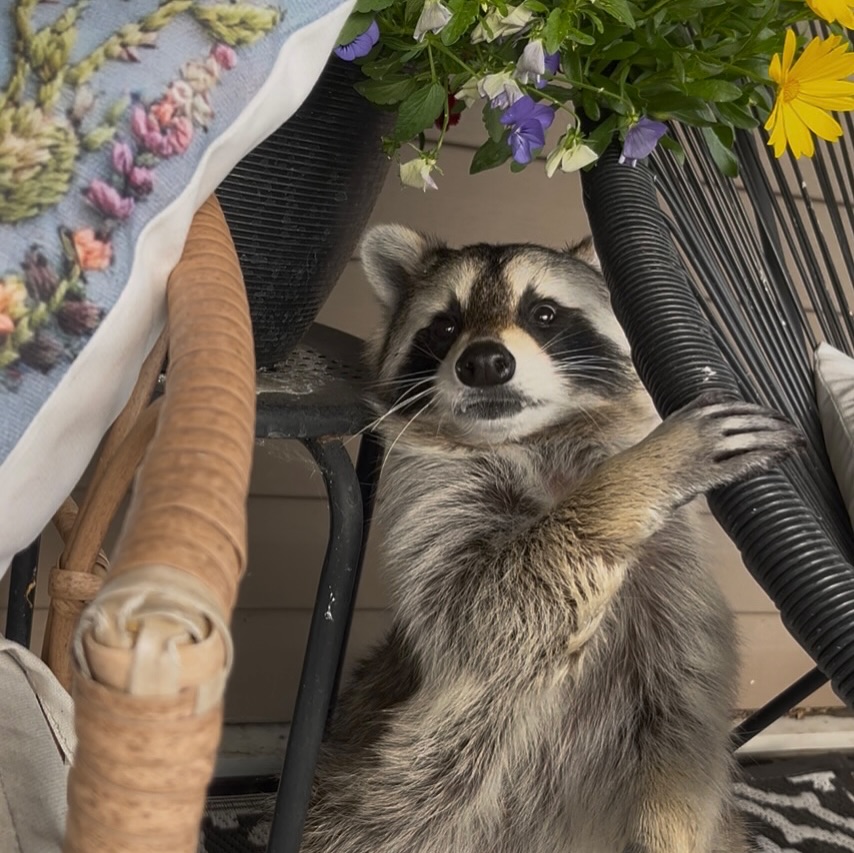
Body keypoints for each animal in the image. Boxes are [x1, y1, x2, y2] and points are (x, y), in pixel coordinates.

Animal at [300, 225, 802, 853]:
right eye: (445, 326)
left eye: (542, 314)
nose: (484, 362)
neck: (536, 441)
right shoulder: (433, 502)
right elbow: (483, 613)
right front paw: (637, 476)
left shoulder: (674, 615)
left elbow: (677, 758)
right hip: (374, 792)